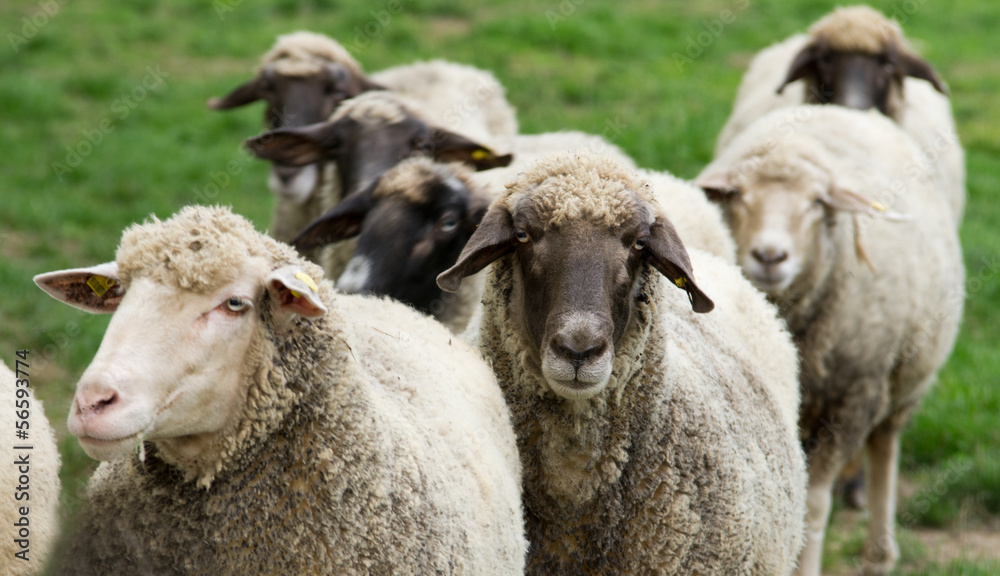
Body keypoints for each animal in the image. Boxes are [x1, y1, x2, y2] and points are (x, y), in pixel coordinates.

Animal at [692, 104, 964, 576]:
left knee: (884, 448)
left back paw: (879, 553)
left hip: (901, 382)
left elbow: (815, 506)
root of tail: (842, 109)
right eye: (738, 195)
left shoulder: (854, 398)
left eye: (817, 203)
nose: (769, 256)